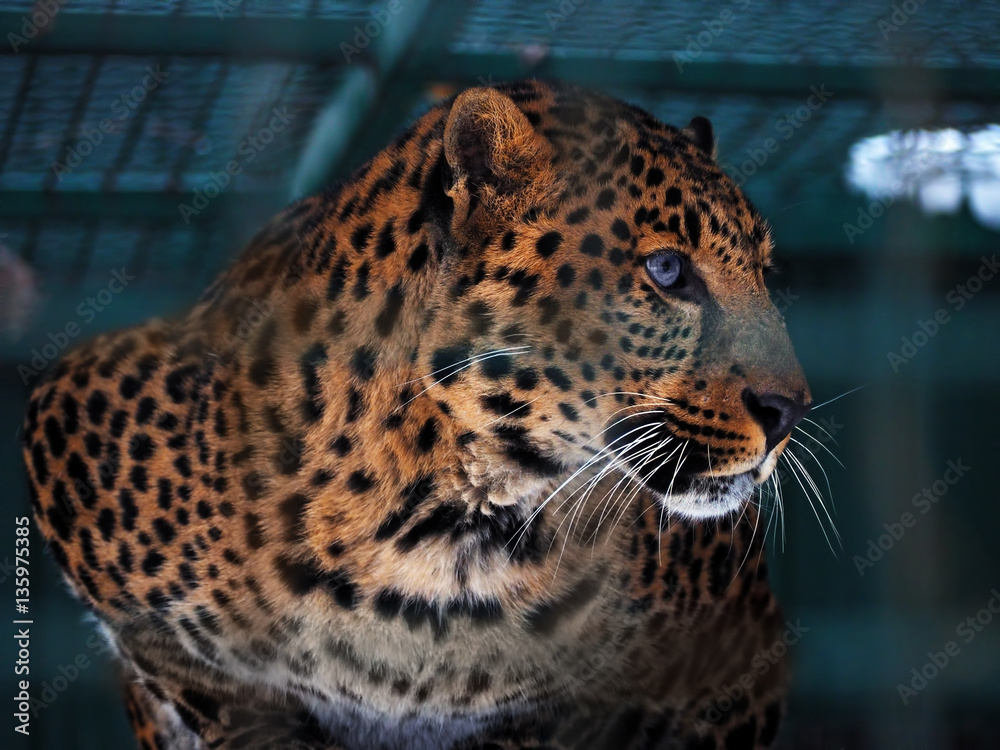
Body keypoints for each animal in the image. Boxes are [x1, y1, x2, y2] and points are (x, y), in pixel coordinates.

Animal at [22, 79, 811, 750]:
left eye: (765, 273)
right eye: (667, 271)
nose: (788, 411)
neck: (447, 522)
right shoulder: (69, 419)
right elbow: (204, 688)